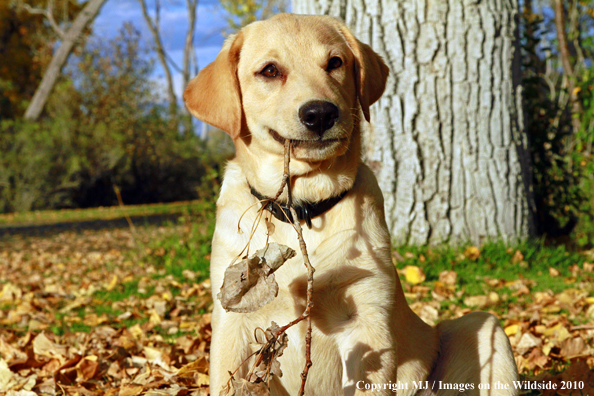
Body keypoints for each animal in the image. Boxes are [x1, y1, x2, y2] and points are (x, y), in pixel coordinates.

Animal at [183, 13, 516, 396]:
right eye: (270, 70)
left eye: (335, 63)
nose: (320, 113)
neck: (302, 211)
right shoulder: (231, 319)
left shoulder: (367, 317)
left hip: (483, 325)